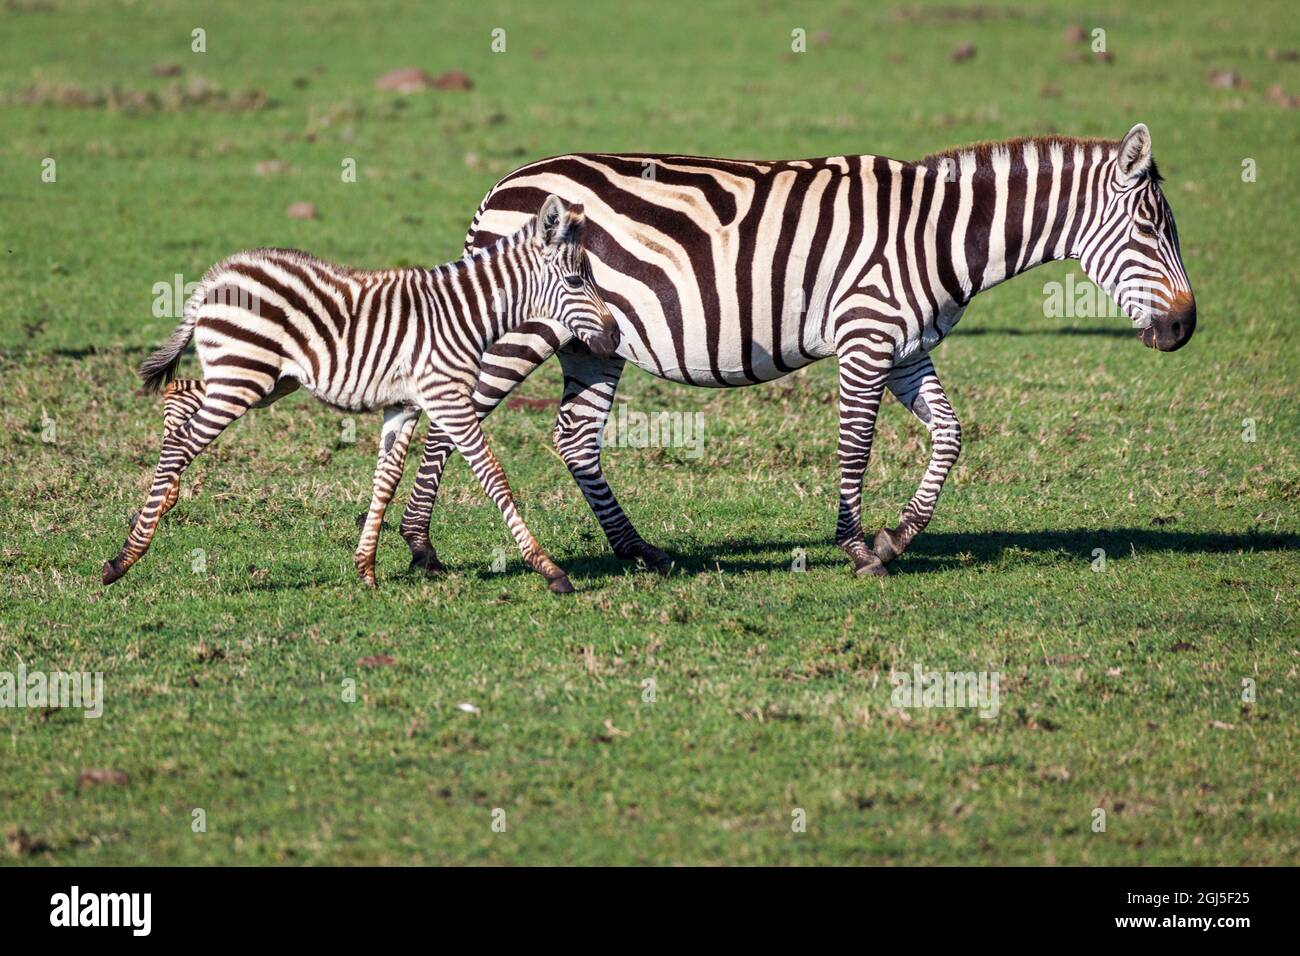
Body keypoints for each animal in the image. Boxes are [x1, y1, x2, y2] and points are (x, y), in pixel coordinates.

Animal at [103, 195, 618, 593]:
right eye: (576, 281)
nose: (613, 336)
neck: (463, 315)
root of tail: (217, 274)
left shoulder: (404, 404)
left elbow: (386, 480)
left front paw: (365, 569)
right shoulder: (446, 397)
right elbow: (493, 475)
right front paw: (549, 569)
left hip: (261, 378)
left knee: (179, 395)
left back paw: (162, 498)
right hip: (243, 376)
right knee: (184, 442)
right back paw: (124, 558)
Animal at [380, 124, 1195, 579]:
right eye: (1151, 229)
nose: (1186, 328)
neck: (937, 234)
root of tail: (504, 184)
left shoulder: (906, 347)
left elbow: (951, 436)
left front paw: (897, 538)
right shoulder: (867, 336)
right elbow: (856, 444)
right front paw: (857, 547)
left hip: (592, 341)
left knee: (574, 438)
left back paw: (638, 552)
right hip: (523, 330)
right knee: (456, 417)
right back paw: (420, 547)